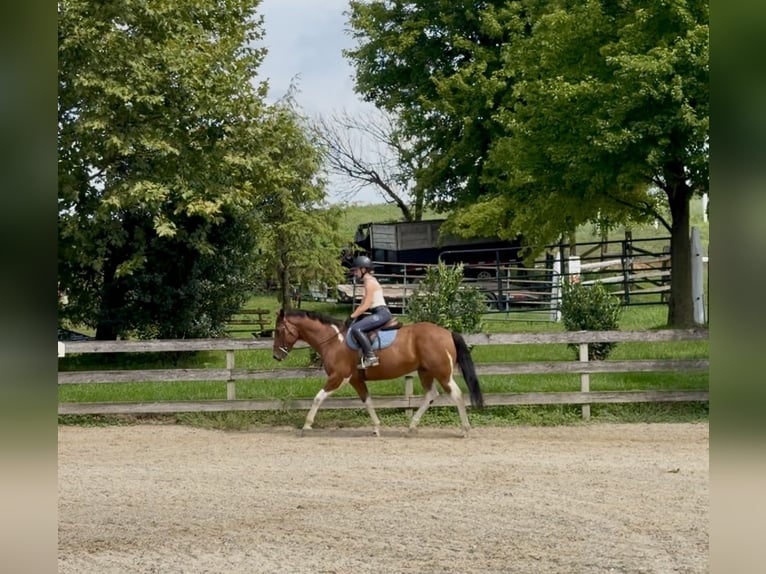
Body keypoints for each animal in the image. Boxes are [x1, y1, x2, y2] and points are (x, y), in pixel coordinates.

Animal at [272, 309, 484, 437]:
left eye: (279, 330)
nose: (276, 356)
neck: (334, 341)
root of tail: (447, 333)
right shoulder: (356, 380)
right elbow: (367, 401)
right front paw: (376, 427)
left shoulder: (339, 377)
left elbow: (318, 397)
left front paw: (306, 425)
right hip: (425, 372)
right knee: (431, 394)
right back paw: (412, 426)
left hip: (442, 373)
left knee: (456, 395)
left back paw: (465, 429)